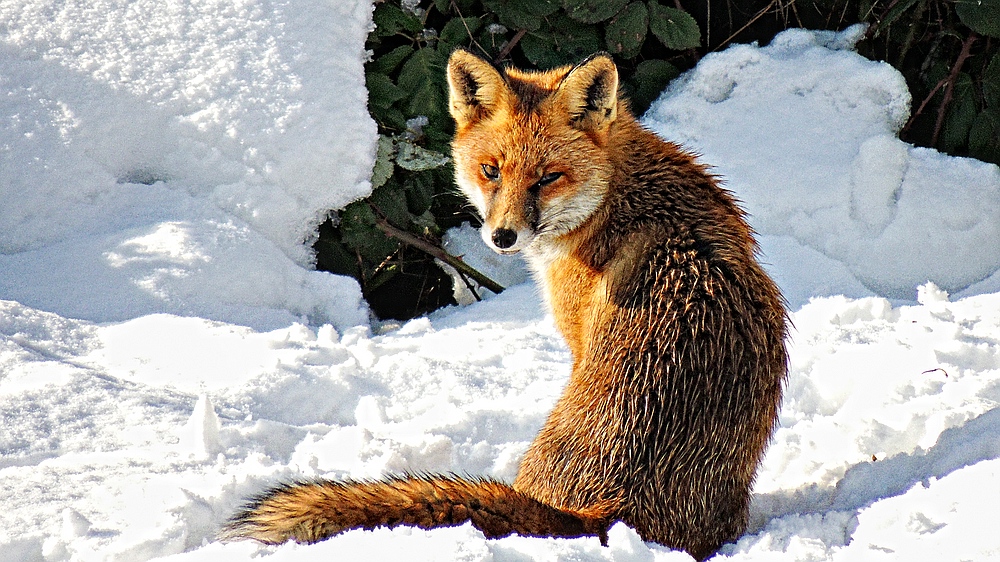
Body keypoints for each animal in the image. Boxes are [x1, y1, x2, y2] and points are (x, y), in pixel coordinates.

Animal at [221, 50, 788, 556]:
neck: (617, 196)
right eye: (491, 171)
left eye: (548, 177)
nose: (502, 237)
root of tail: (609, 508)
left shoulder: (576, 339)